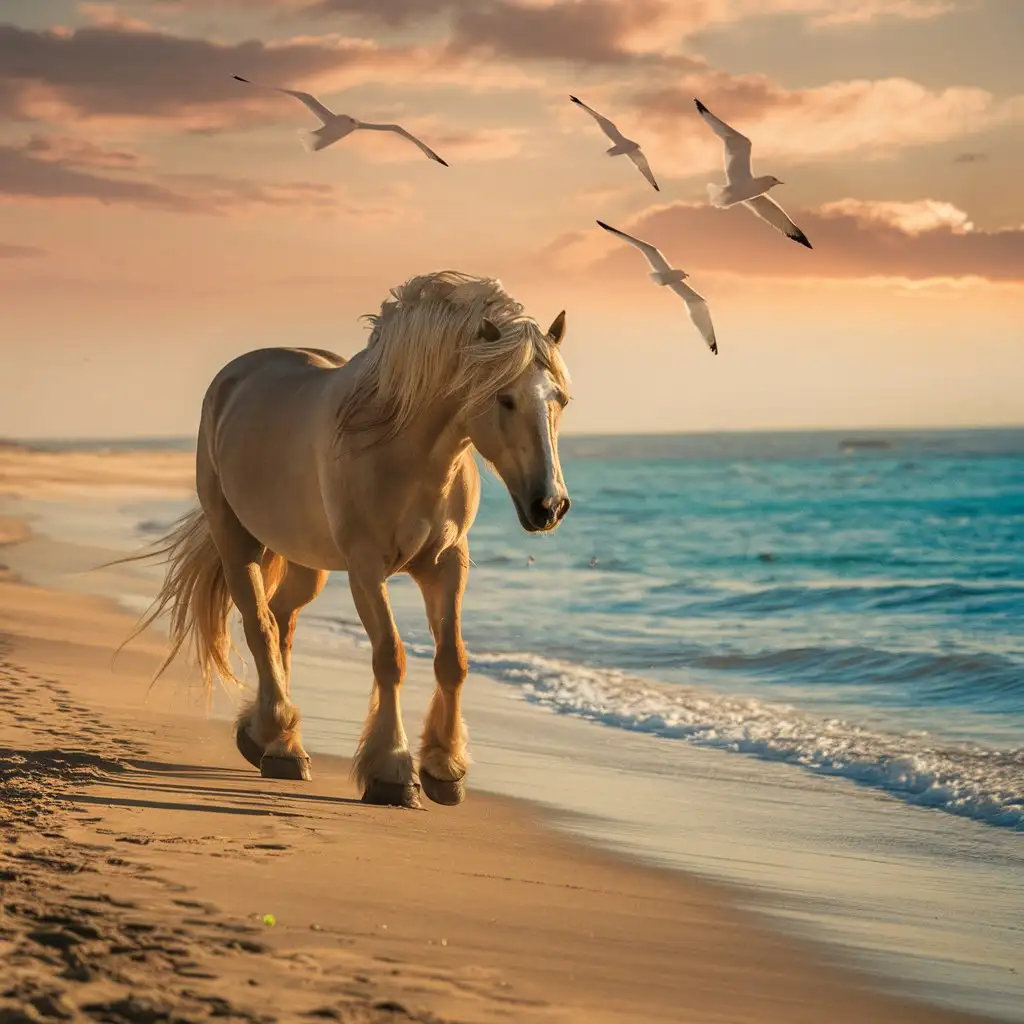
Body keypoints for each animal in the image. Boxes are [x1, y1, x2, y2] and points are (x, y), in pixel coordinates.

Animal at [118, 270, 573, 806]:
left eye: (560, 400)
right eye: (505, 398)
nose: (549, 506)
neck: (408, 452)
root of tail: (235, 376)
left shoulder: (446, 563)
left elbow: (453, 660)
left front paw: (445, 768)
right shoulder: (366, 568)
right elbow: (390, 657)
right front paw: (392, 771)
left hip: (305, 563)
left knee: (282, 624)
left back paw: (269, 740)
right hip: (237, 542)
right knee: (260, 627)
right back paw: (281, 741)